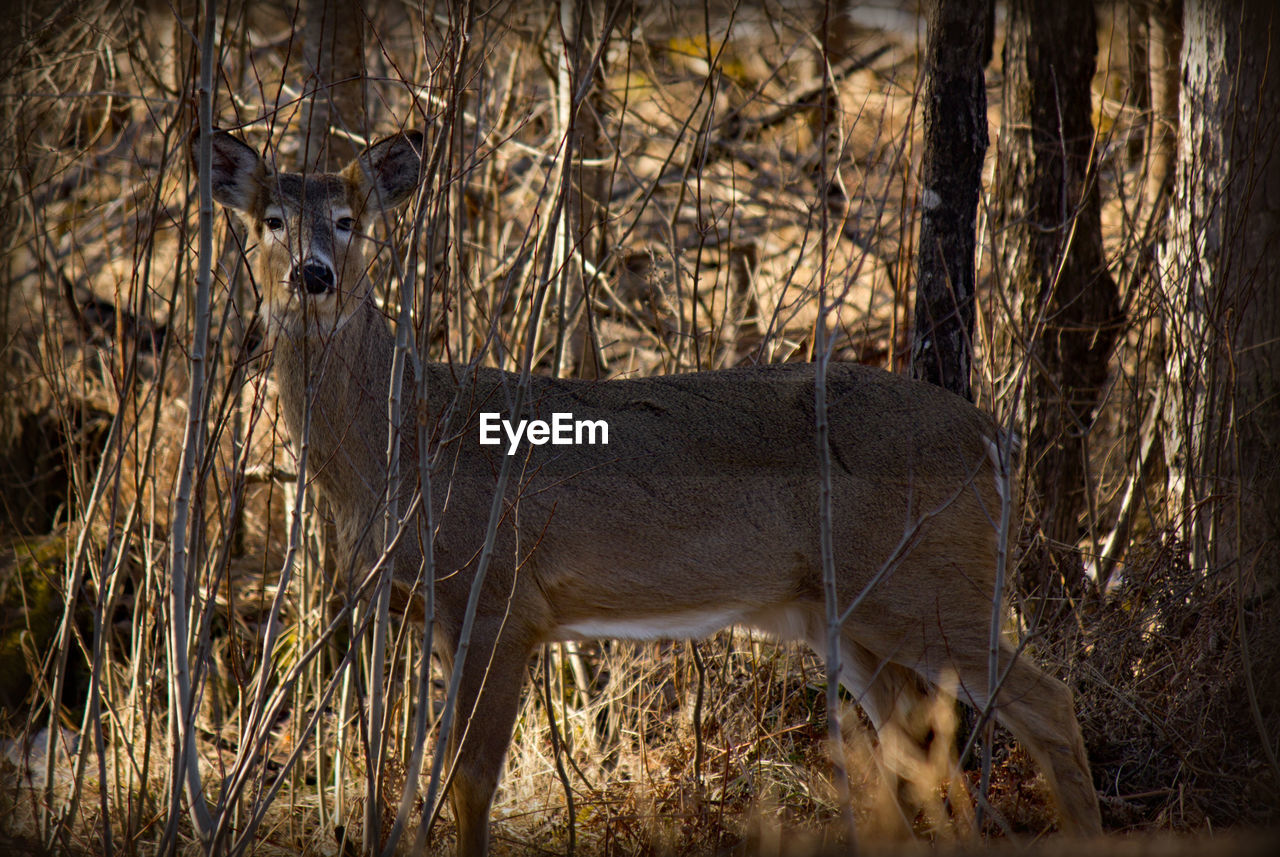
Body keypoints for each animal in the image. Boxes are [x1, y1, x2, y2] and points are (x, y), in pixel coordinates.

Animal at [204, 124, 1105, 854]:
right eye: (270, 219)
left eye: (349, 220)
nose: (313, 276)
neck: (404, 442)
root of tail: (993, 436)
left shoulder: (501, 595)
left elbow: (469, 783)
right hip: (847, 613)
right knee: (922, 748)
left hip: (930, 582)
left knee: (1050, 702)